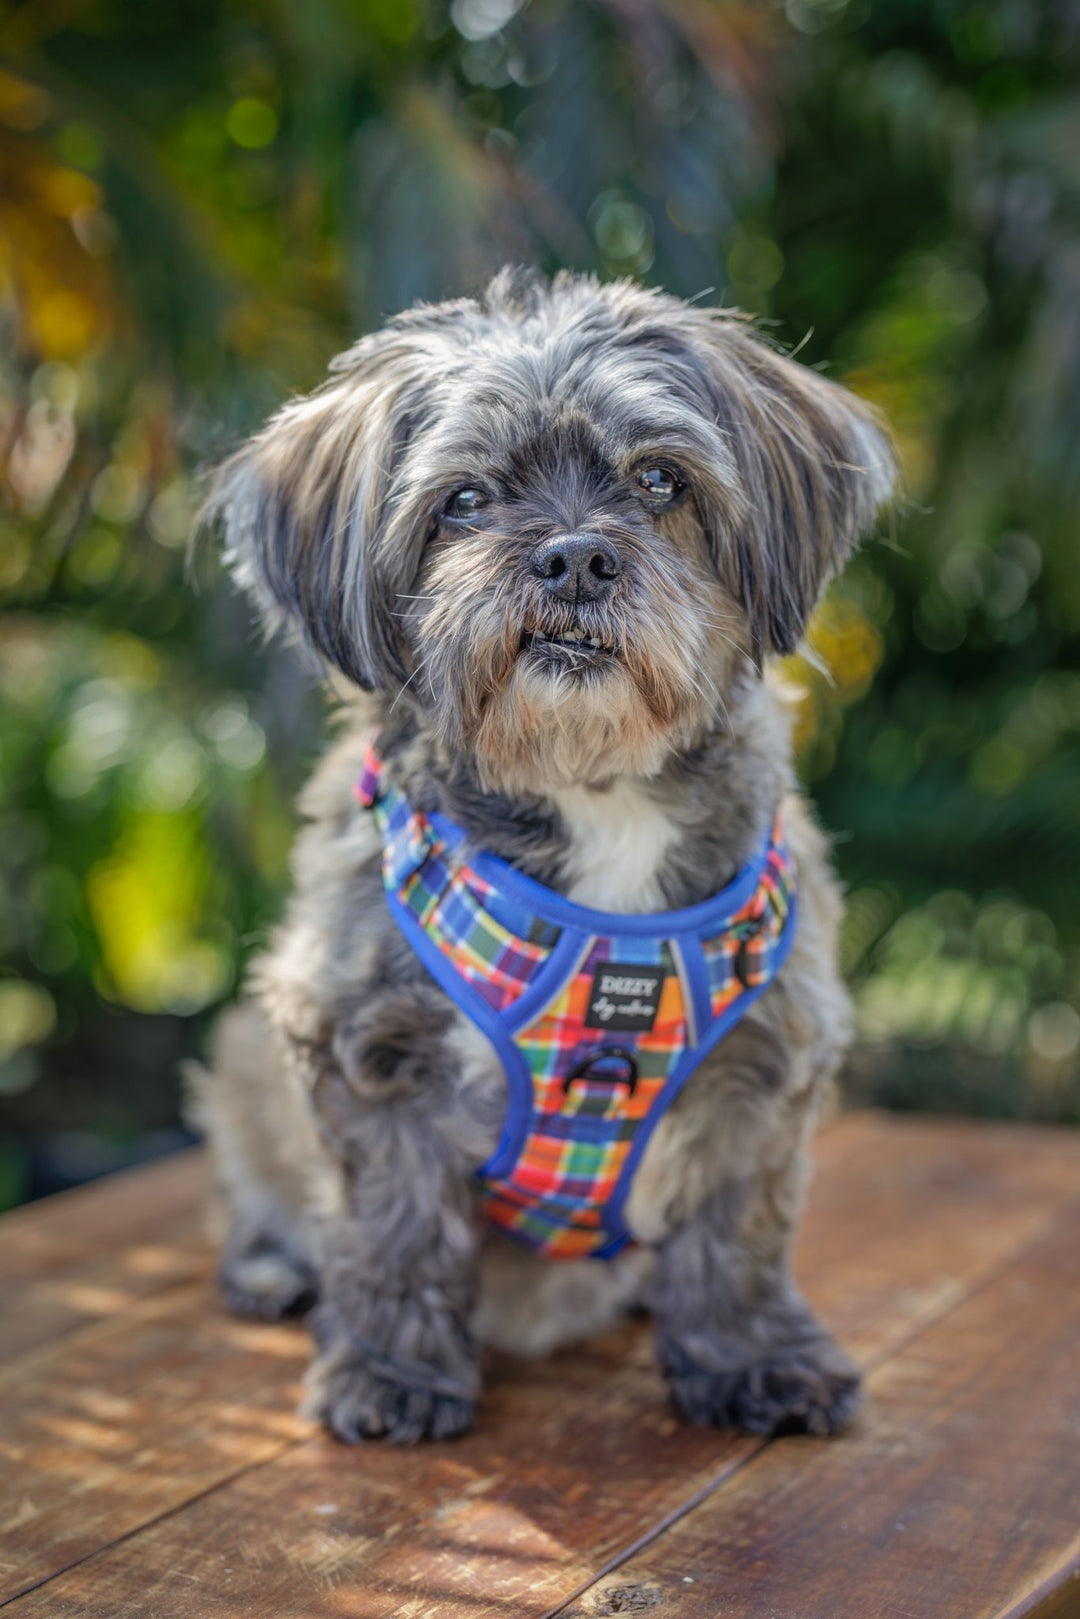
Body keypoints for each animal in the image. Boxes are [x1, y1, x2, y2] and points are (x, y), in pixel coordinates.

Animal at [190, 265, 900, 1444]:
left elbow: (738, 1232)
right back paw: (270, 1268)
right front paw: (392, 1370)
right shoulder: (363, 1044)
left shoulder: (767, 1061)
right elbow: (393, 1228)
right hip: (246, 1057)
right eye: (466, 500)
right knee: (266, 1195)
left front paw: (754, 1358)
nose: (574, 556)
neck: (593, 790)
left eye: (660, 478)